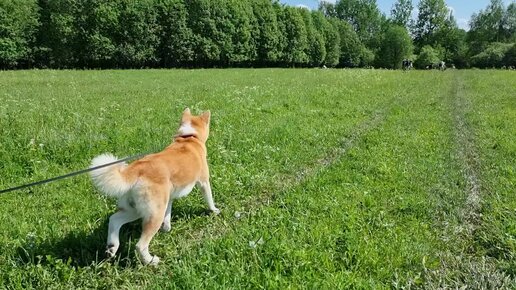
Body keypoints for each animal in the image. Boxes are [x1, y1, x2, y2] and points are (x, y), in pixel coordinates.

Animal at [89, 108, 219, 266]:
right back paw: (150, 261)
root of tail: (136, 169)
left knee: (114, 219)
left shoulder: (169, 198)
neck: (189, 137)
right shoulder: (204, 182)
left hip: (137, 209)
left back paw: (112, 248)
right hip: (154, 214)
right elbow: (209, 198)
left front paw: (167, 228)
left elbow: (168, 215)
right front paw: (214, 210)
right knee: (140, 245)